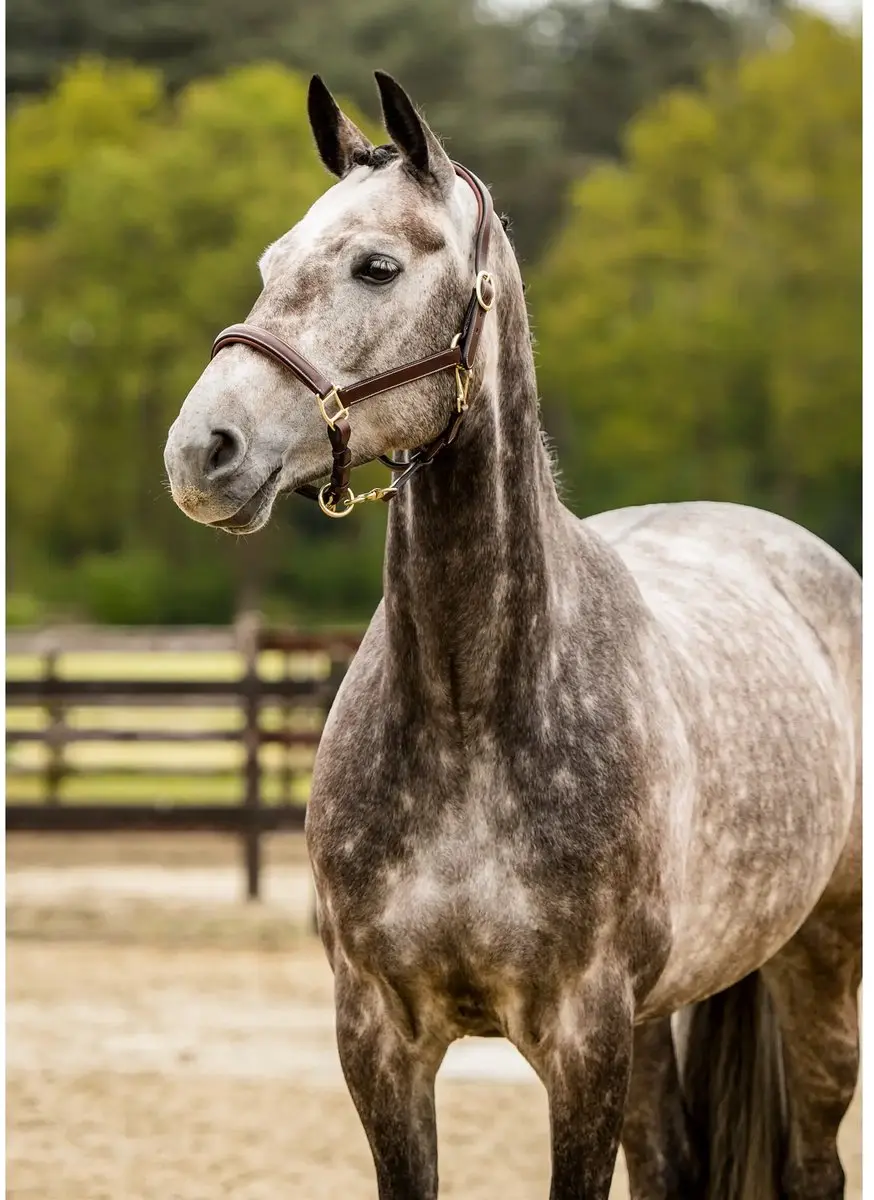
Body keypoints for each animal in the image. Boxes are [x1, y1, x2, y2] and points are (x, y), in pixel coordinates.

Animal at [163, 72, 862, 1200]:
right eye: (271, 263)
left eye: (376, 265)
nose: (202, 452)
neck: (469, 712)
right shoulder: (379, 1040)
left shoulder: (583, 1043)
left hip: (821, 960)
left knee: (812, 1168)